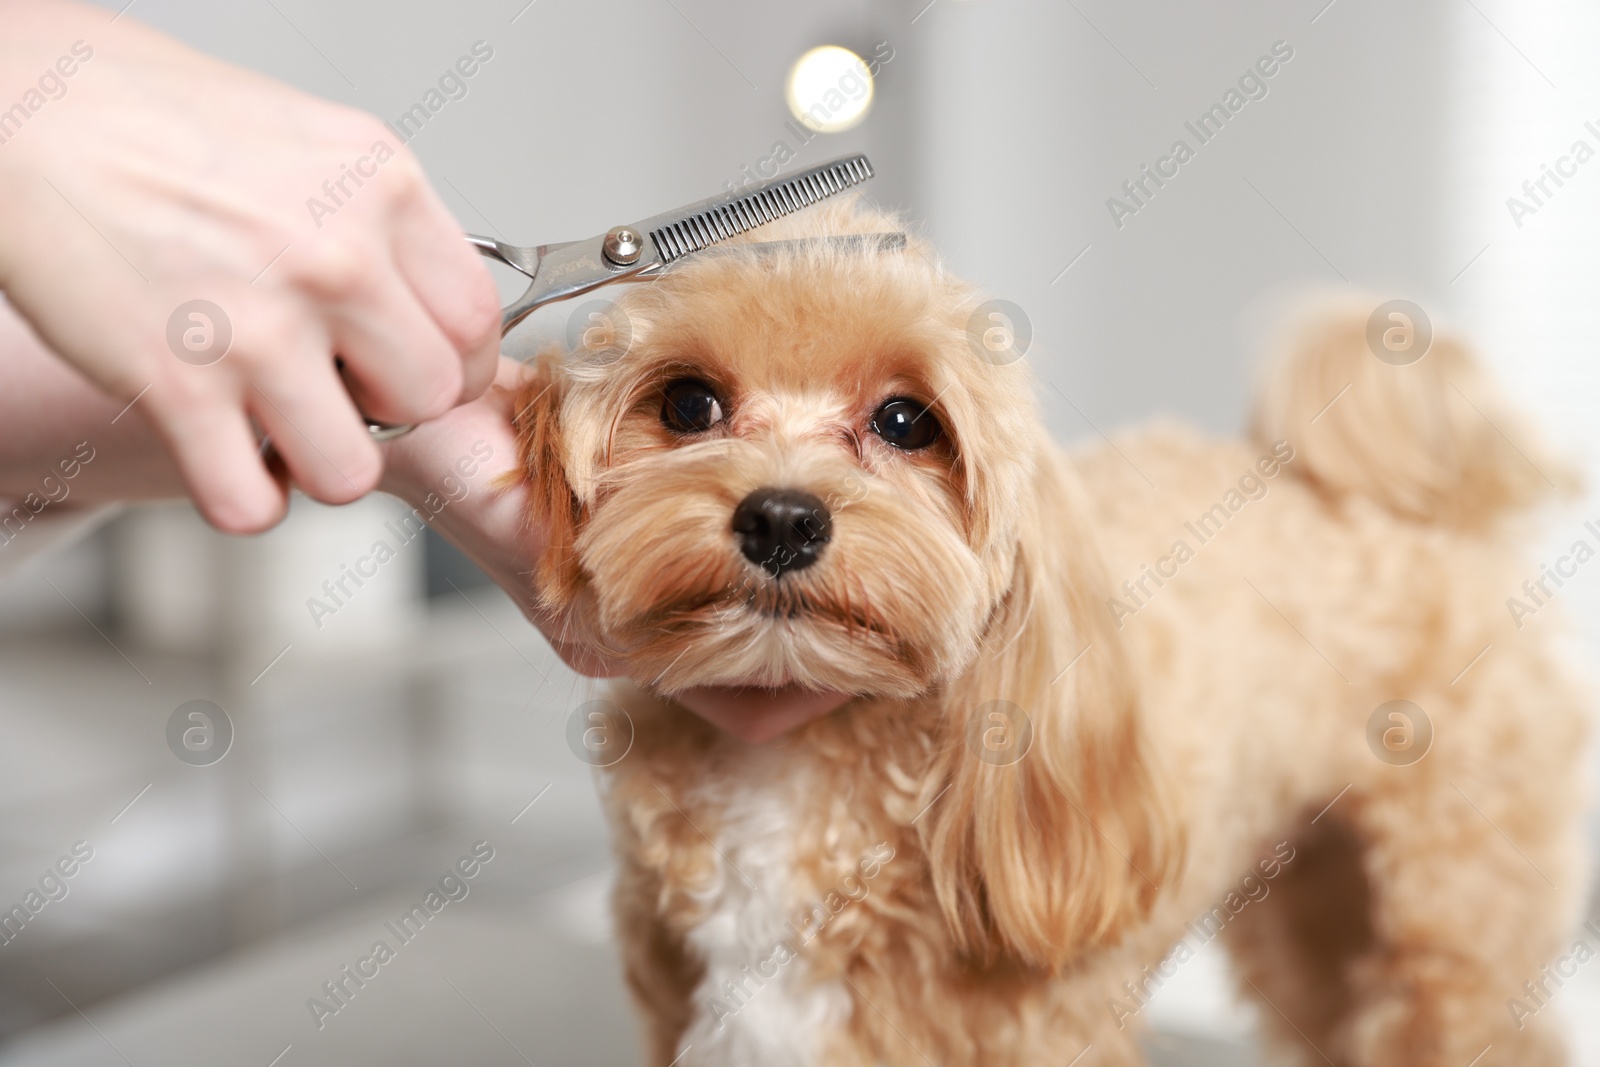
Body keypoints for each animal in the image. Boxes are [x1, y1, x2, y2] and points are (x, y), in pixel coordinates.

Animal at [512, 195, 1587, 1062]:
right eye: (688, 402)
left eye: (906, 421)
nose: (782, 518)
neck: (787, 767)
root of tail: (1407, 504)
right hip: (1316, 908)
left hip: (1454, 915)